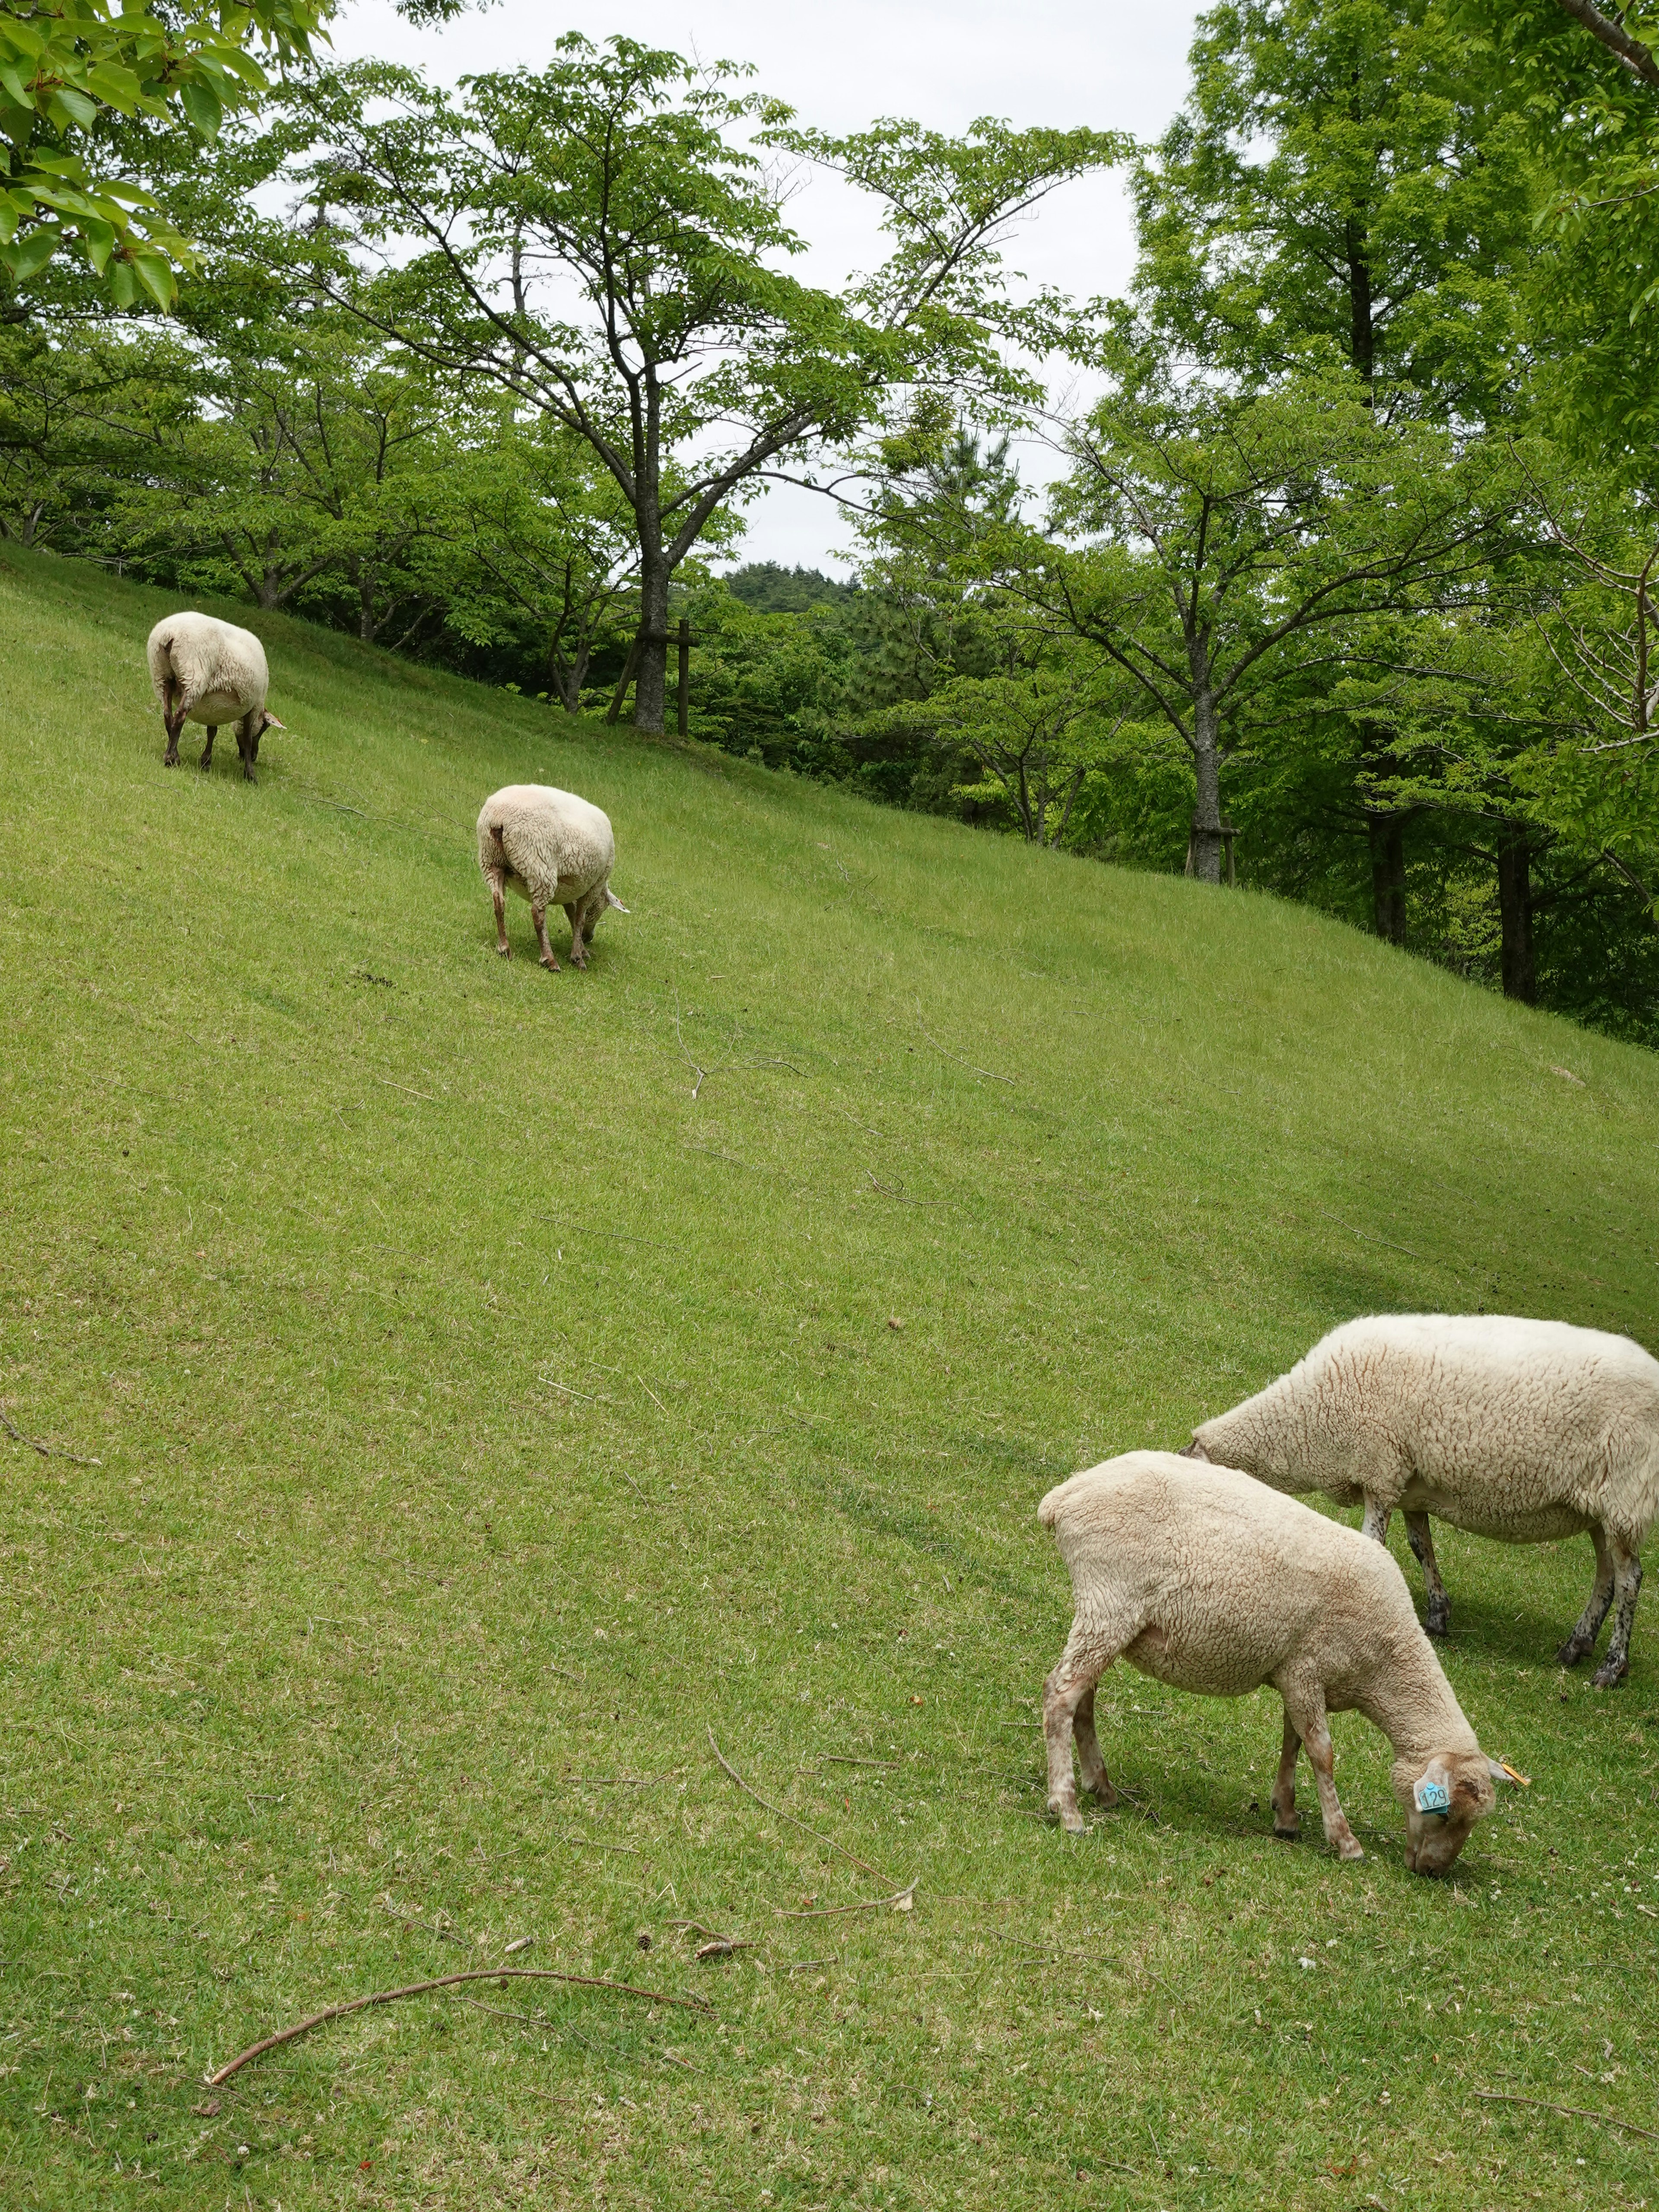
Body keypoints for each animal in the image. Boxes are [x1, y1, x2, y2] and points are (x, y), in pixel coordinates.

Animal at [148, 610, 285, 783]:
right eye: (264, 729)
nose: (255, 757)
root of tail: (169, 633)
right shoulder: (254, 706)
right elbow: (247, 738)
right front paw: (250, 774)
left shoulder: (212, 705)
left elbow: (212, 731)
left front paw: (206, 762)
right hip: (194, 675)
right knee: (180, 716)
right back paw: (170, 759)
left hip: (162, 674)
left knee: (168, 714)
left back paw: (176, 755)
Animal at [473, 787, 628, 978]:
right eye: (604, 908)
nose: (589, 938)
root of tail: (499, 818)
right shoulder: (594, 886)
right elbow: (580, 918)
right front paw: (578, 957)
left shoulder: (569, 890)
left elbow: (572, 915)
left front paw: (581, 949)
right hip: (539, 866)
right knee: (538, 913)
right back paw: (550, 959)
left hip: (492, 861)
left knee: (499, 902)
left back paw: (504, 948)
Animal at [1044, 1451, 1531, 1867]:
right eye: (1444, 1814)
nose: (1432, 1871)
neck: (1385, 1663)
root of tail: (1064, 1498)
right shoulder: (1307, 1669)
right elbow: (1322, 1753)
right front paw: (1345, 1840)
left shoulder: (1296, 1675)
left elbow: (1293, 1740)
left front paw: (1287, 1815)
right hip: (1109, 1602)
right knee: (1060, 1695)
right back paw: (1067, 1809)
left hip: (1108, 1618)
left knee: (1083, 1698)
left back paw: (1102, 1787)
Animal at [1185, 1309, 1659, 1690]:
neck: (1307, 1419)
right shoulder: (1410, 1484)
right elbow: (1420, 1546)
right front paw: (1437, 1614)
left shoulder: (1380, 1469)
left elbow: (1373, 1546)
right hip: (1599, 1507)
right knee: (1606, 1575)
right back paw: (1576, 1645)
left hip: (1627, 1493)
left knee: (1630, 1578)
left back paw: (1611, 1667)